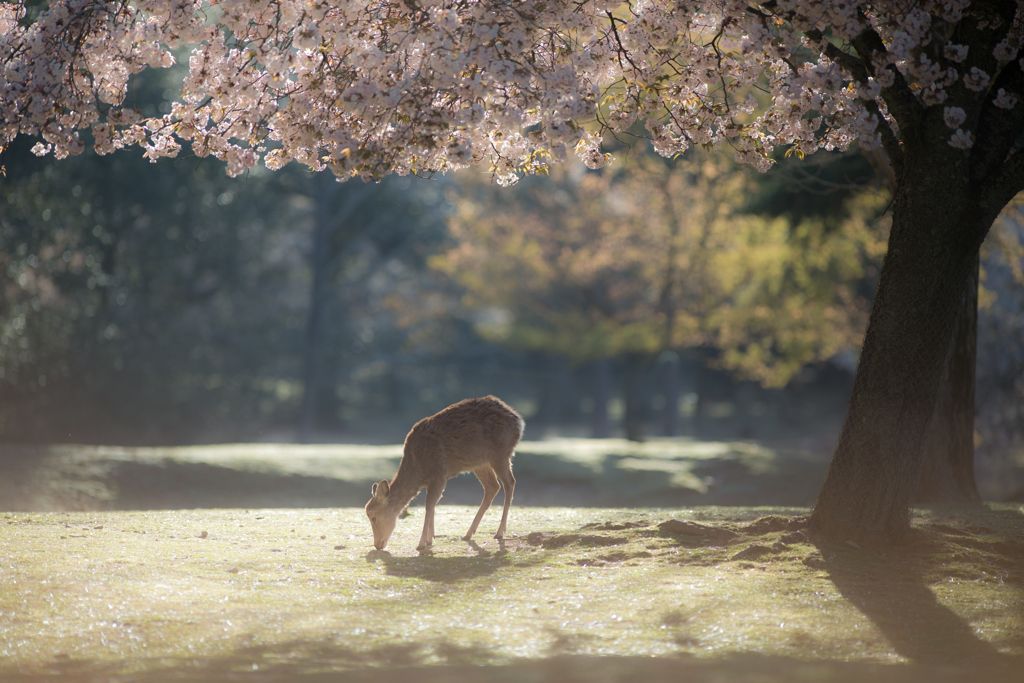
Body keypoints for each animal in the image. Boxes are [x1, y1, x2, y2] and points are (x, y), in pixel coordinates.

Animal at [364, 397, 524, 552]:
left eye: (374, 517)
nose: (377, 545)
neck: (417, 469)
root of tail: (518, 420)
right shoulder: (435, 479)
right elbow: (433, 505)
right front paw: (430, 539)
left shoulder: (438, 474)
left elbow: (429, 506)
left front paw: (421, 543)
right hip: (481, 463)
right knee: (493, 487)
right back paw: (468, 534)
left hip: (500, 452)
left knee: (510, 482)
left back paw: (499, 532)